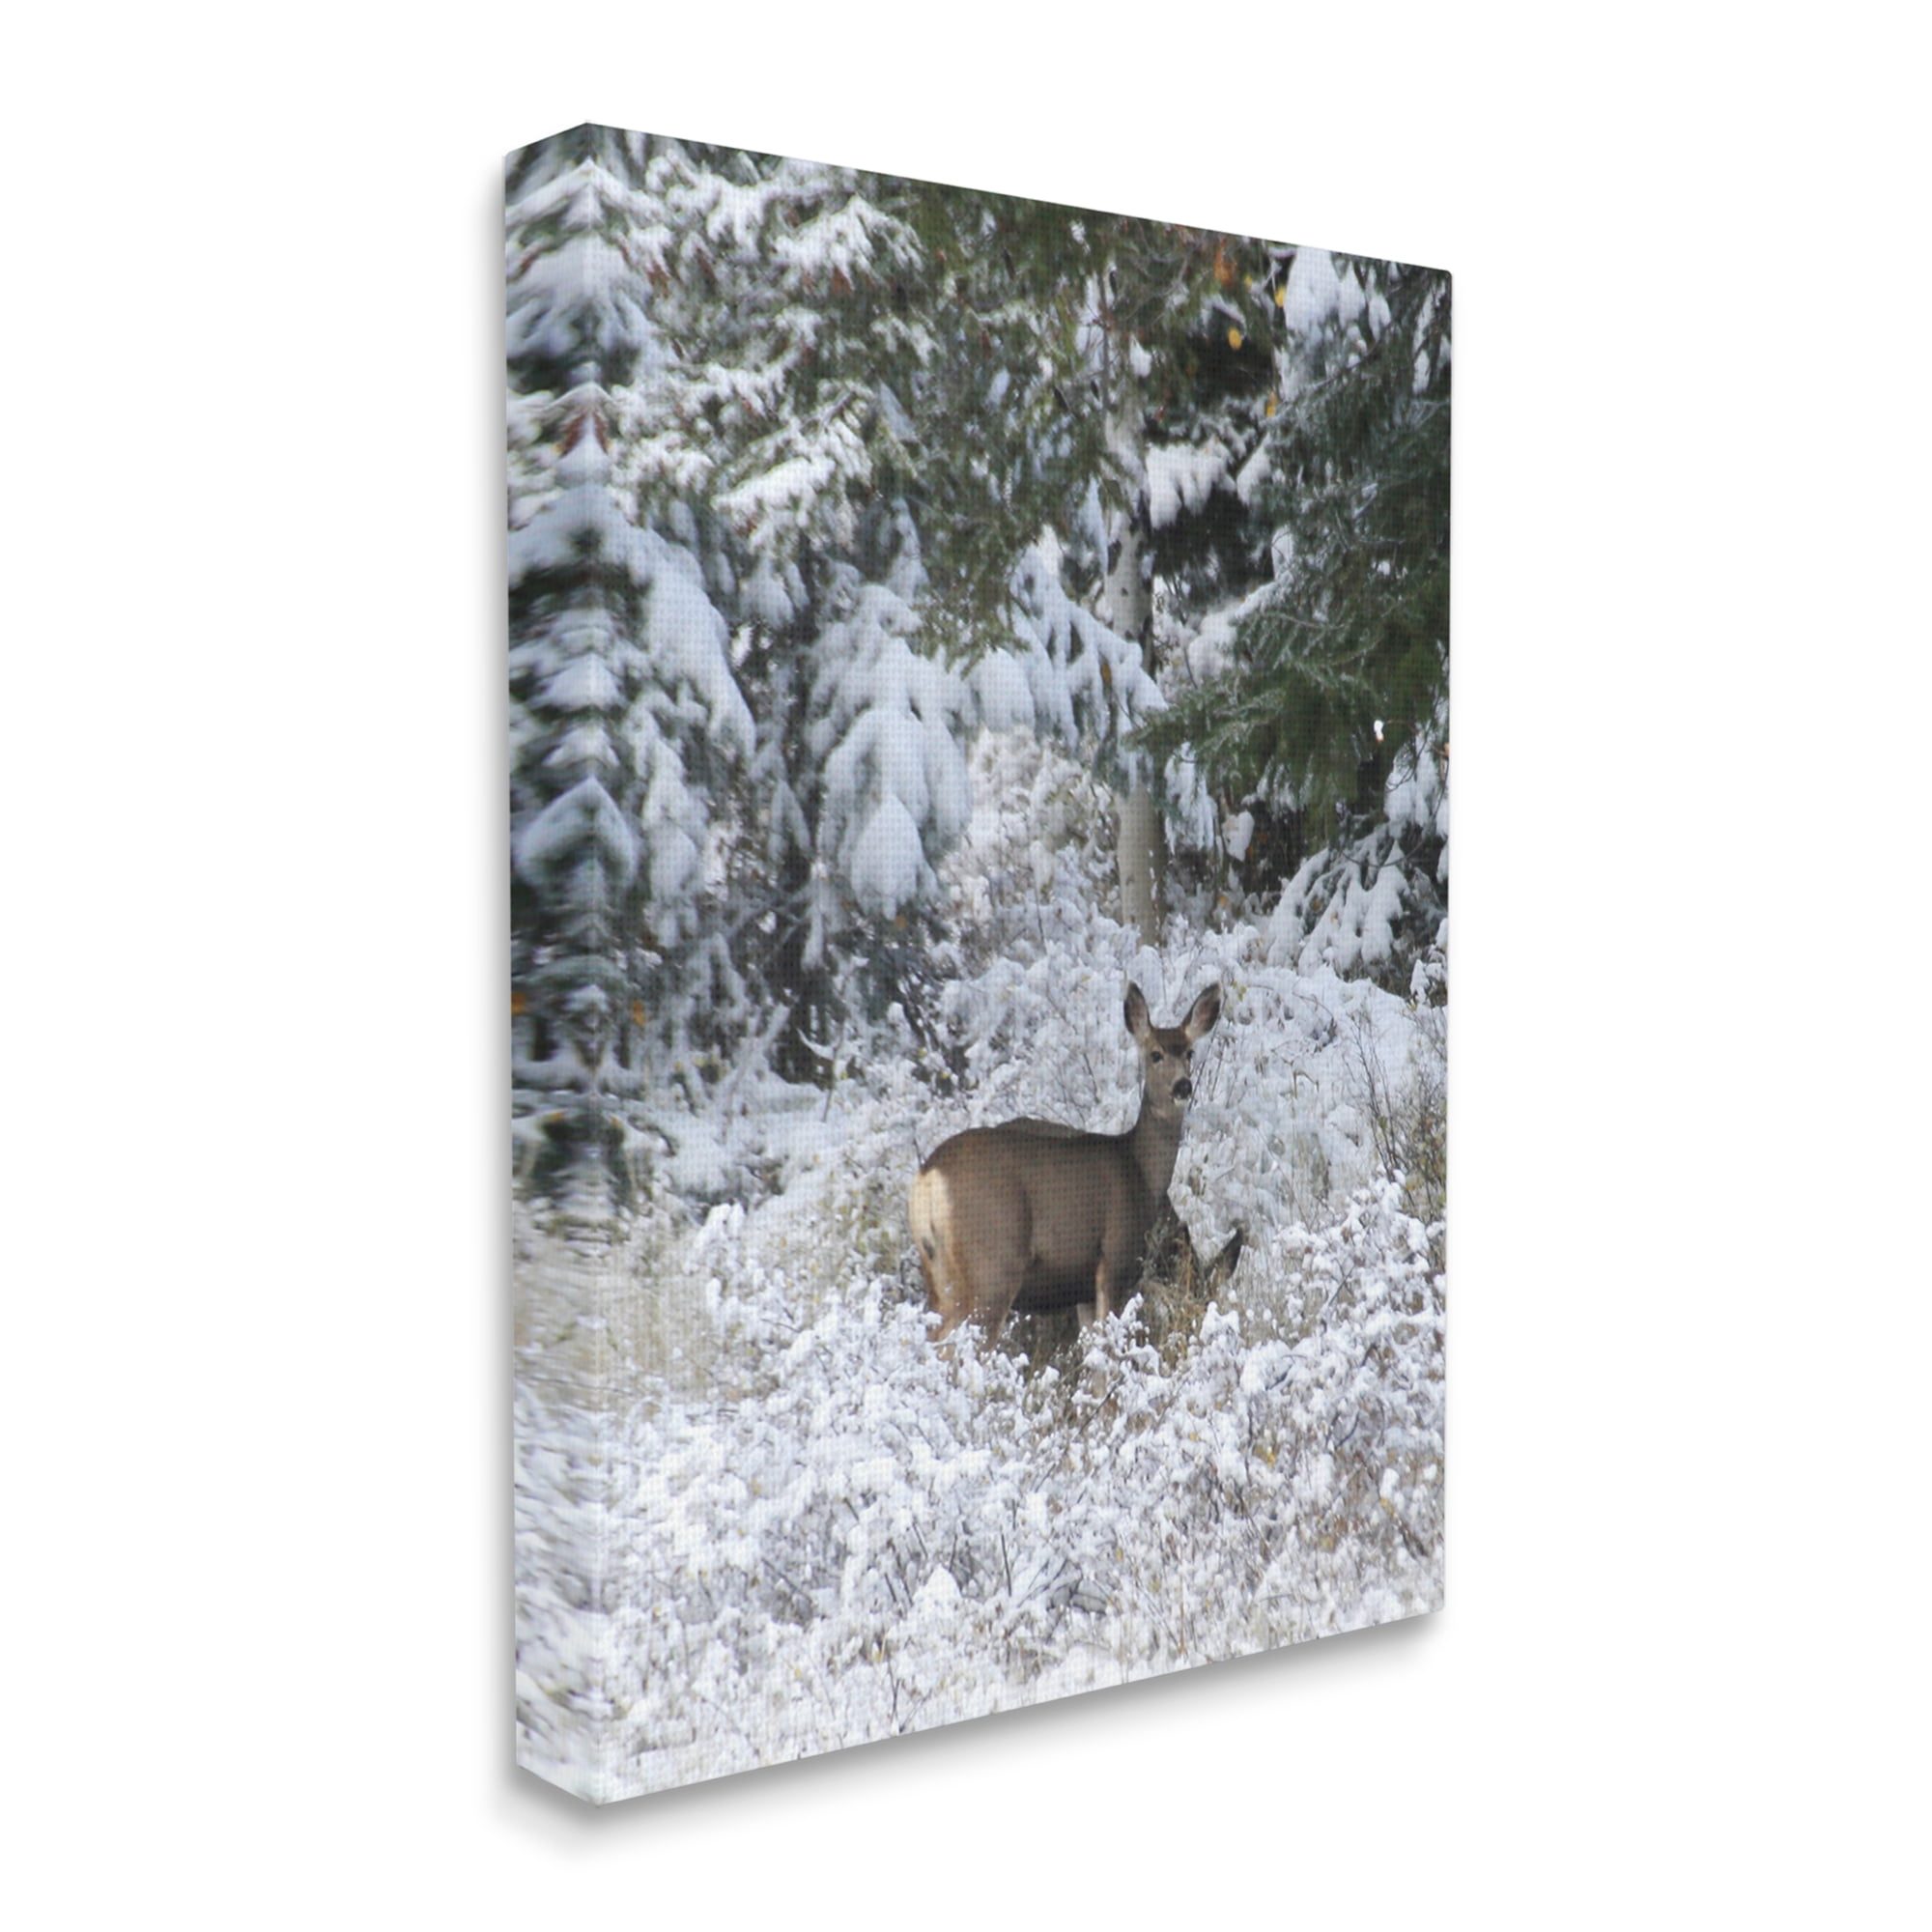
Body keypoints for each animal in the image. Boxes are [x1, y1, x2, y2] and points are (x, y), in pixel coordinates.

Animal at [909, 982, 1225, 1343]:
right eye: (1155, 1054)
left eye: (1189, 1053)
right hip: (992, 1265)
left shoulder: (1082, 1289)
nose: (1183, 1086)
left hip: (938, 1276)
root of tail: (929, 1176)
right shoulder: (1114, 1257)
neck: (1140, 1171)